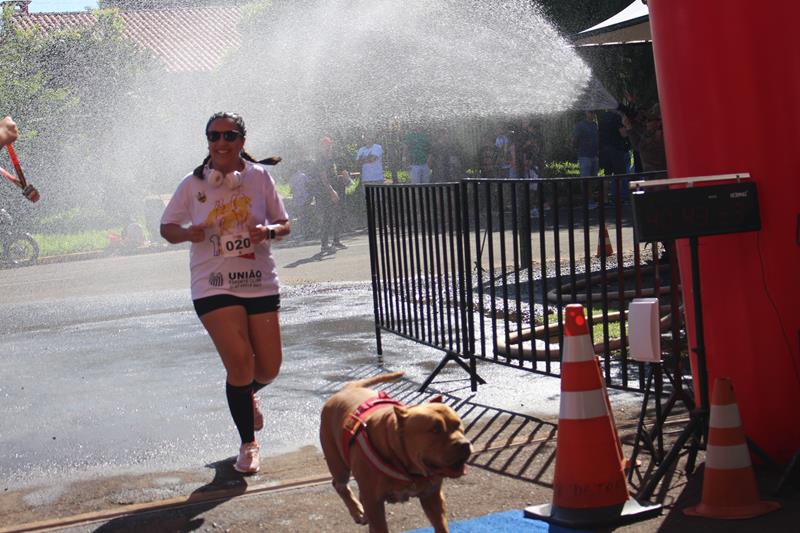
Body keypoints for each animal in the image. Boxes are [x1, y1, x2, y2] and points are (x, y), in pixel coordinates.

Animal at [318, 372, 472, 528]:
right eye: (435, 429)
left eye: (458, 424)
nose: (465, 444)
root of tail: (347, 389)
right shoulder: (374, 504)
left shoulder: (432, 497)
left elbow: (441, 526)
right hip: (339, 466)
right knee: (339, 485)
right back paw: (357, 511)